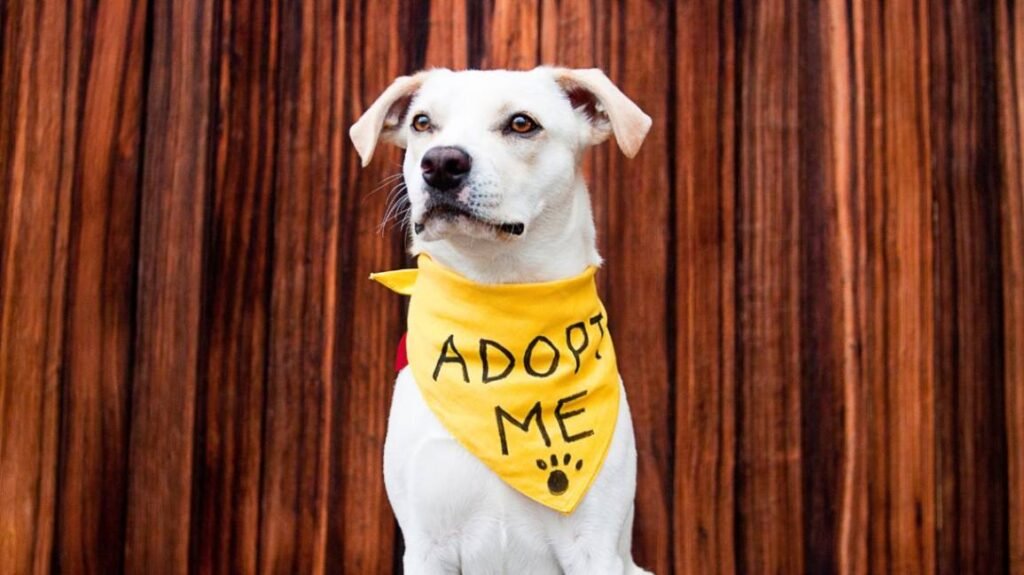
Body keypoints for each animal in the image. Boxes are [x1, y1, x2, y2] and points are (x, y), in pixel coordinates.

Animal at [352, 68, 651, 572]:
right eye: (422, 122)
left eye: (521, 123)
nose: (441, 163)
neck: (498, 296)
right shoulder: (427, 543)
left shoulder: (595, 545)